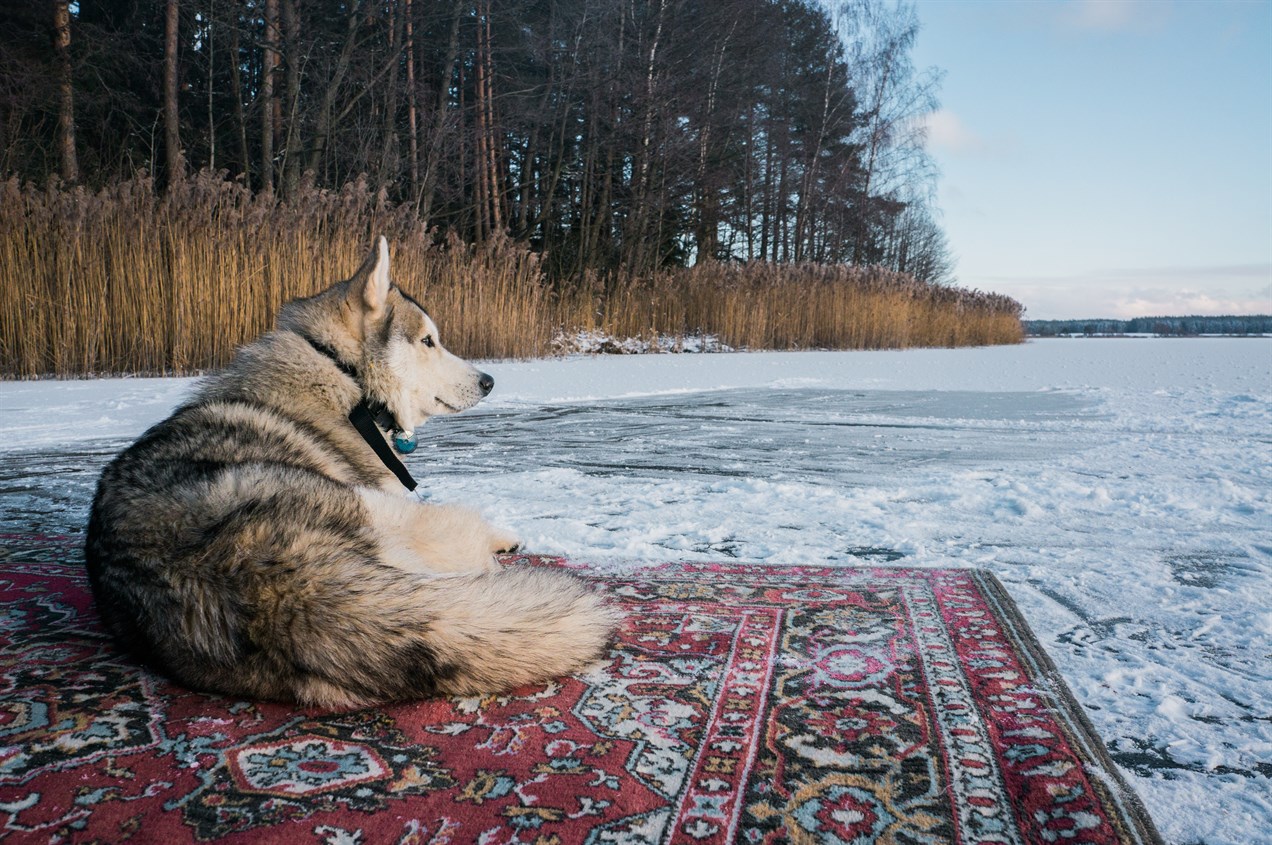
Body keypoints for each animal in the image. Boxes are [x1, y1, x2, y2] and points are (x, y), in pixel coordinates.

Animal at [82, 235, 618, 707]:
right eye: (428, 341)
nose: (489, 381)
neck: (344, 375)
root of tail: (270, 585)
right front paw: (503, 538)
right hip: (378, 507)